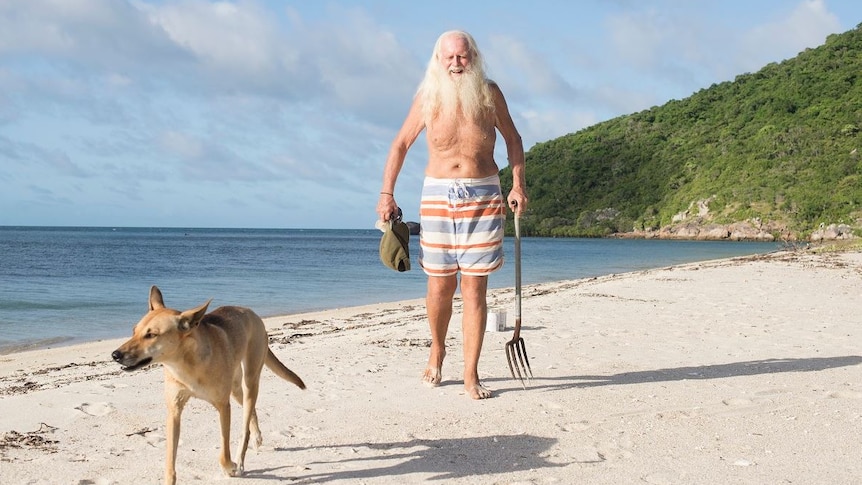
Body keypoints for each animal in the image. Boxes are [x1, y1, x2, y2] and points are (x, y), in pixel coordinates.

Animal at [113, 286, 306, 482]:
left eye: (151, 335)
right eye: (134, 331)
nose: (115, 355)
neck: (187, 364)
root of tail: (251, 312)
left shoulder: (223, 407)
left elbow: (224, 452)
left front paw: (230, 467)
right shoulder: (174, 411)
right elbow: (170, 462)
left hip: (250, 380)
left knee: (245, 426)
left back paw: (241, 460)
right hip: (236, 388)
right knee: (250, 411)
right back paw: (257, 437)